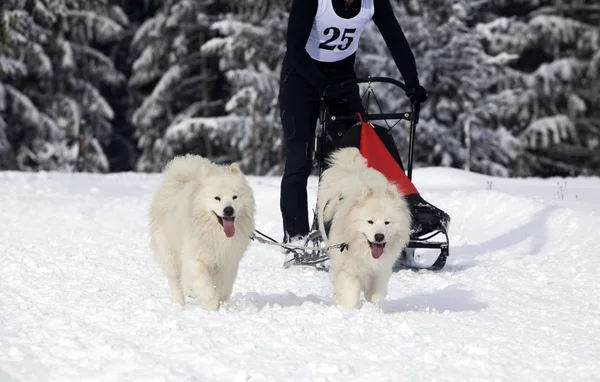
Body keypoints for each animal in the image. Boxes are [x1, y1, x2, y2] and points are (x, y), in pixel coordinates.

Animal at [150, 154, 255, 308]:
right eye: (217, 198)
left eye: (235, 197)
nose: (228, 210)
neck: (216, 234)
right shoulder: (195, 258)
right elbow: (203, 283)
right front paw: (211, 303)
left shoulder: (227, 261)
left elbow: (223, 285)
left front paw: (221, 302)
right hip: (170, 253)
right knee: (176, 281)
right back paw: (179, 303)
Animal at [318, 148, 412, 308]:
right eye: (370, 222)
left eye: (387, 222)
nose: (379, 236)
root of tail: (352, 165)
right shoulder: (348, 270)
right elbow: (350, 295)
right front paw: (351, 309)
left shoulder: (380, 271)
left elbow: (376, 295)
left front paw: (374, 308)